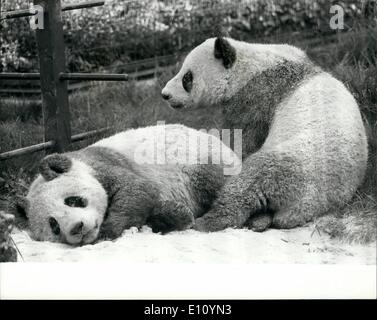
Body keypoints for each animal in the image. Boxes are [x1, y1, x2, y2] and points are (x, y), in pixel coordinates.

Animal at [13, 124, 241, 245]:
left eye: (73, 201)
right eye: (54, 225)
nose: (77, 228)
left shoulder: (102, 165)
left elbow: (137, 189)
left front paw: (107, 230)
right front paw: (169, 214)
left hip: (199, 162)